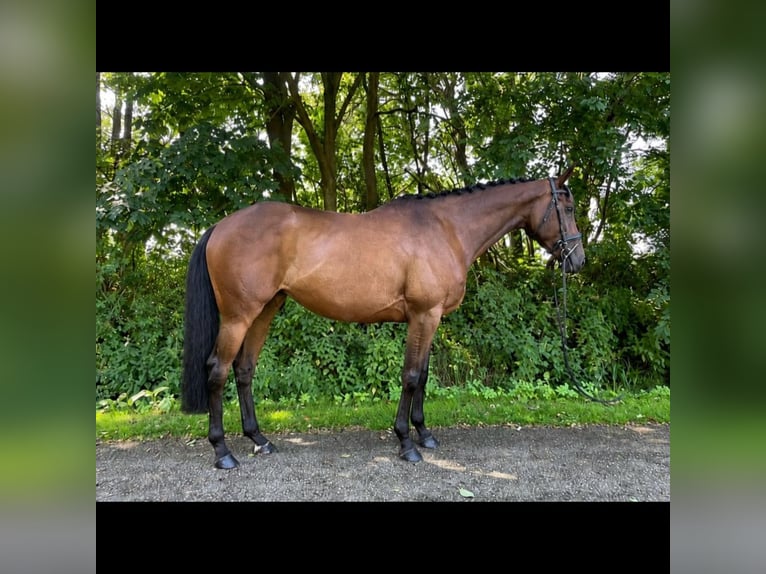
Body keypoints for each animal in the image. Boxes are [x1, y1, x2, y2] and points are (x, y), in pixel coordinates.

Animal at [181, 168, 585, 468]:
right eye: (567, 207)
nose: (577, 261)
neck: (446, 229)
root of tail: (220, 227)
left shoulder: (431, 318)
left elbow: (424, 375)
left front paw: (425, 434)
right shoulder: (424, 315)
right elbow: (411, 376)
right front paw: (406, 443)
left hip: (266, 309)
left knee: (244, 369)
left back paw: (259, 439)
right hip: (238, 316)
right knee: (217, 370)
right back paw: (223, 452)